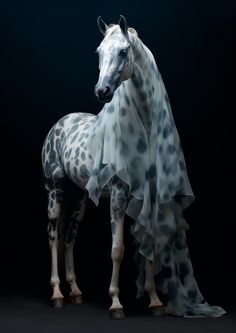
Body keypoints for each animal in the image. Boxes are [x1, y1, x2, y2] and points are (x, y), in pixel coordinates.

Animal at [41, 14, 226, 316]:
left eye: (123, 51)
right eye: (98, 52)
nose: (101, 91)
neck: (146, 128)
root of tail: (61, 123)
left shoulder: (150, 197)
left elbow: (149, 245)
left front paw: (155, 301)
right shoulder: (118, 194)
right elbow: (117, 249)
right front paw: (116, 302)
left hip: (80, 195)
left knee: (70, 236)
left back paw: (76, 292)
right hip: (54, 189)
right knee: (54, 236)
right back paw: (57, 293)